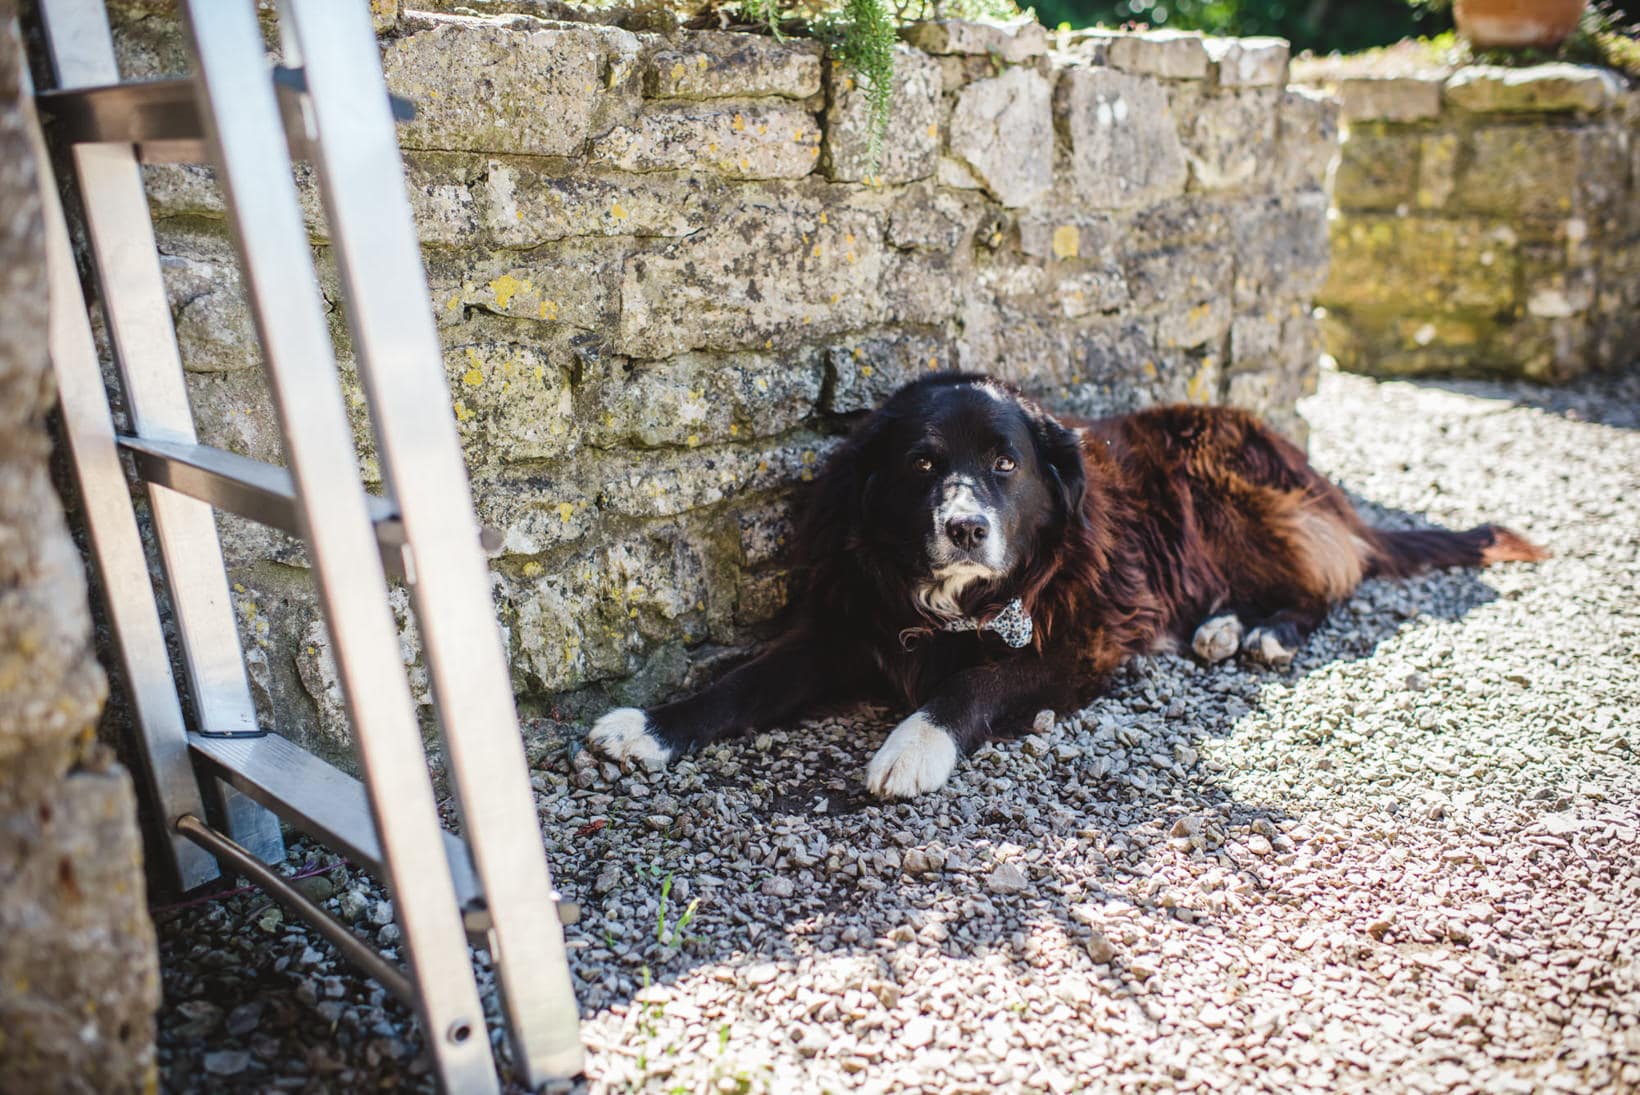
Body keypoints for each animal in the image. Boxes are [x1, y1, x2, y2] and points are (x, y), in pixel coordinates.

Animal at [593, 373, 1548, 796]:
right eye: (922, 463)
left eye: (1006, 463)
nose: (966, 526)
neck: (955, 606)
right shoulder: (844, 632)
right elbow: (740, 683)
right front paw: (649, 726)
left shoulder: (1084, 643)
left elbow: (975, 681)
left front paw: (913, 744)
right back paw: (1222, 625)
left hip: (1226, 479)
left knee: (1324, 586)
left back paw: (1265, 631)